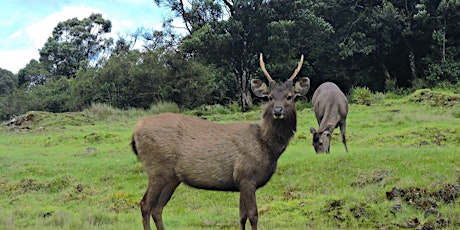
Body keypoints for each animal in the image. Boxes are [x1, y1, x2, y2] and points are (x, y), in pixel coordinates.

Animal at [132, 54, 310, 230]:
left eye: (290, 96)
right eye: (270, 97)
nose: (278, 111)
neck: (266, 147)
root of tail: (135, 132)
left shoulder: (241, 181)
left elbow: (242, 217)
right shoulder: (246, 176)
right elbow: (253, 215)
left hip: (171, 177)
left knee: (157, 208)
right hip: (157, 169)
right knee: (145, 205)